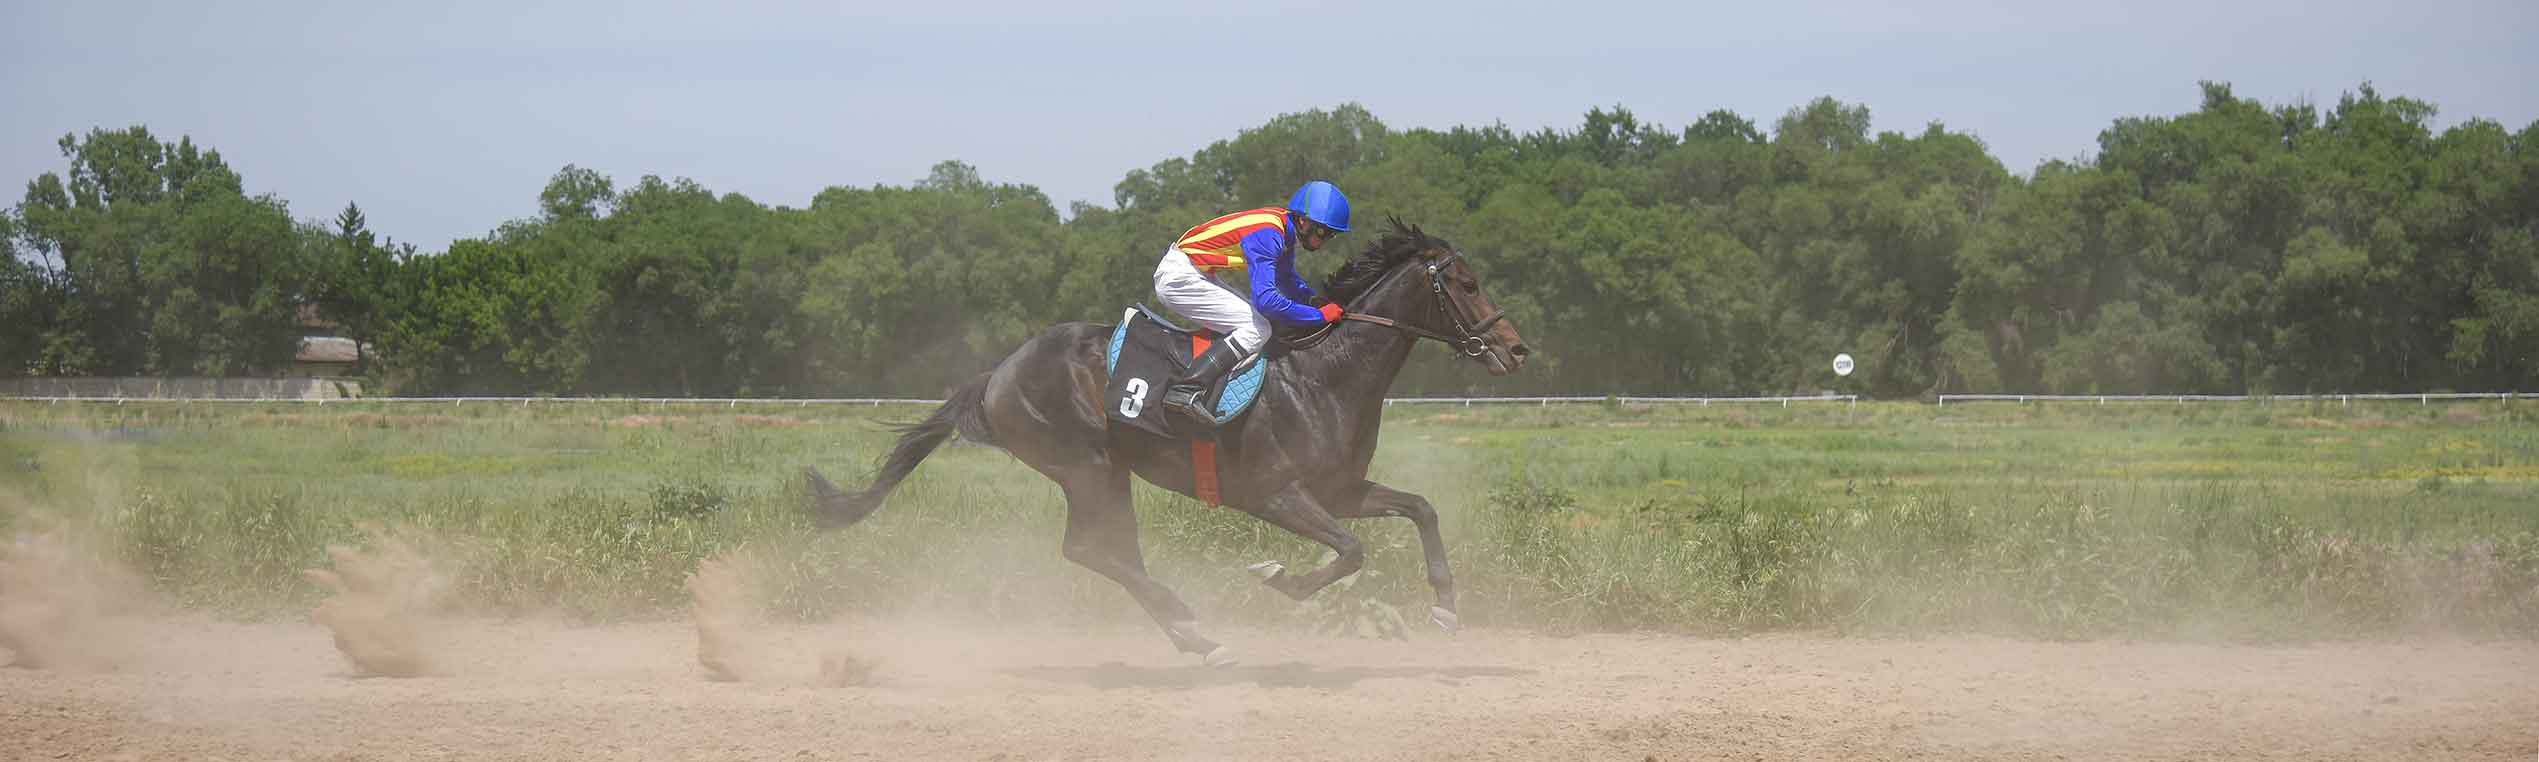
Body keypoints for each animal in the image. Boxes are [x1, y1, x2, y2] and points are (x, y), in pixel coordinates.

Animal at [804, 219, 1530, 665]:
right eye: (1466, 283)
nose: (1516, 348)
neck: (1321, 377)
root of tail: (997, 373)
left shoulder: (1340, 490)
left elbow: (1419, 509)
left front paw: (1445, 607)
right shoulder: (1275, 495)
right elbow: (1350, 552)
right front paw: (1279, 579)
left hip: (1108, 473)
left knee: (1111, 551)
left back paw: (1193, 636)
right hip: (1086, 465)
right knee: (1088, 548)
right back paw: (1187, 619)